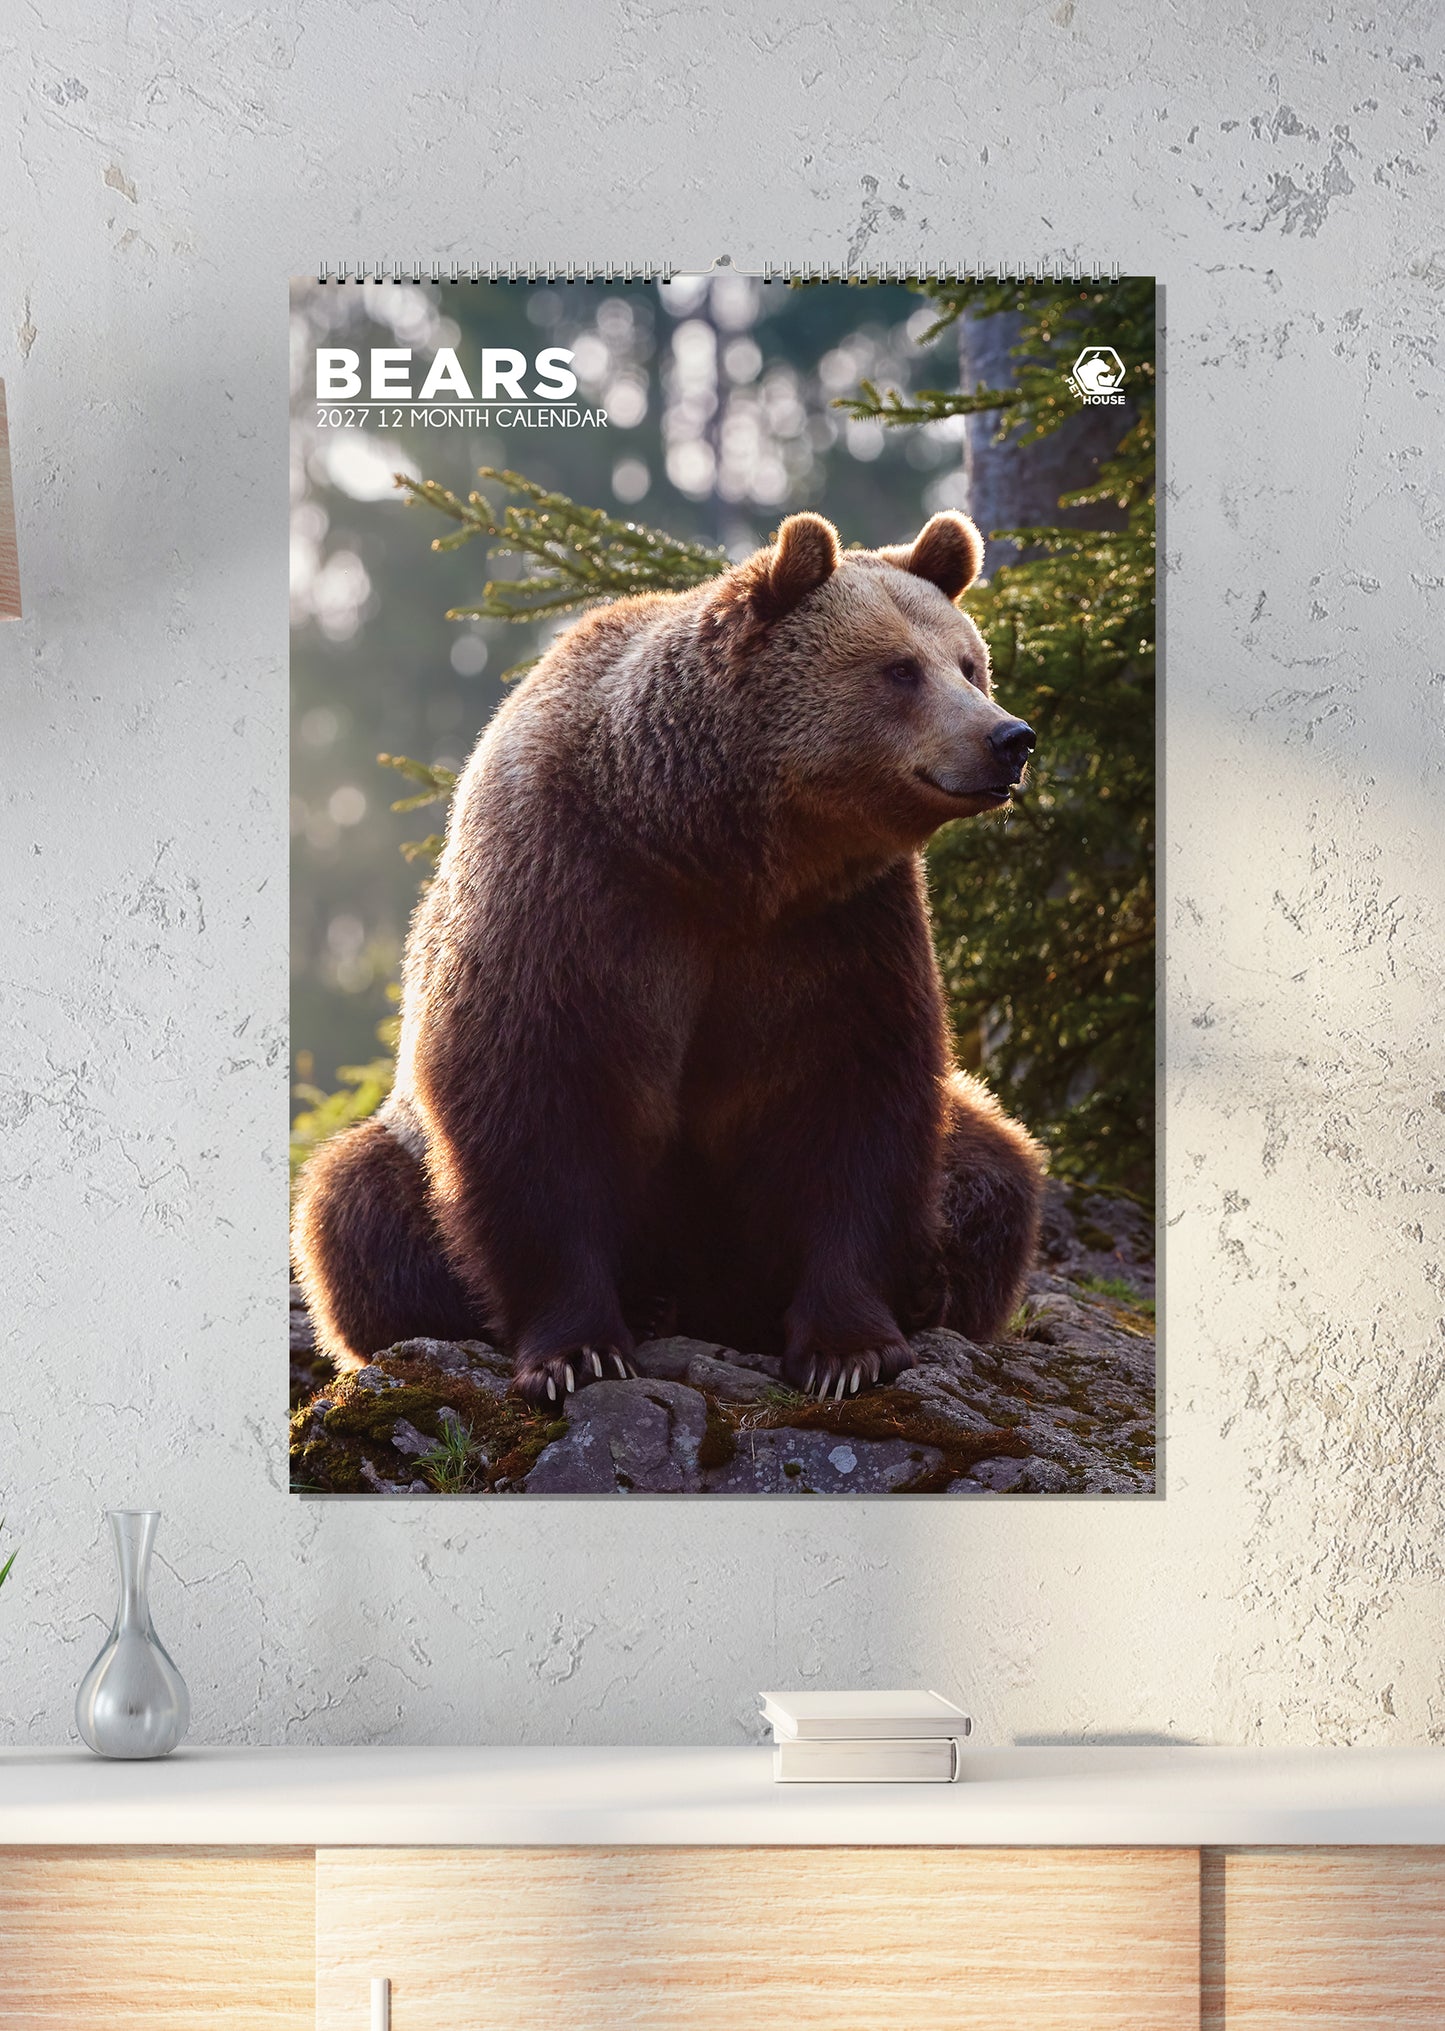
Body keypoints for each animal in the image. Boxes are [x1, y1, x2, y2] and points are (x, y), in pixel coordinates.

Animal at [293, 508, 1045, 1408]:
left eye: (968, 662)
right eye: (900, 668)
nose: (1008, 736)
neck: (711, 849)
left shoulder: (840, 928)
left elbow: (854, 1105)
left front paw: (848, 1347)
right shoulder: (570, 896)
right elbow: (535, 1105)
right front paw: (578, 1350)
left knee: (993, 1167)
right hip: (400, 1153)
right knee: (351, 1209)